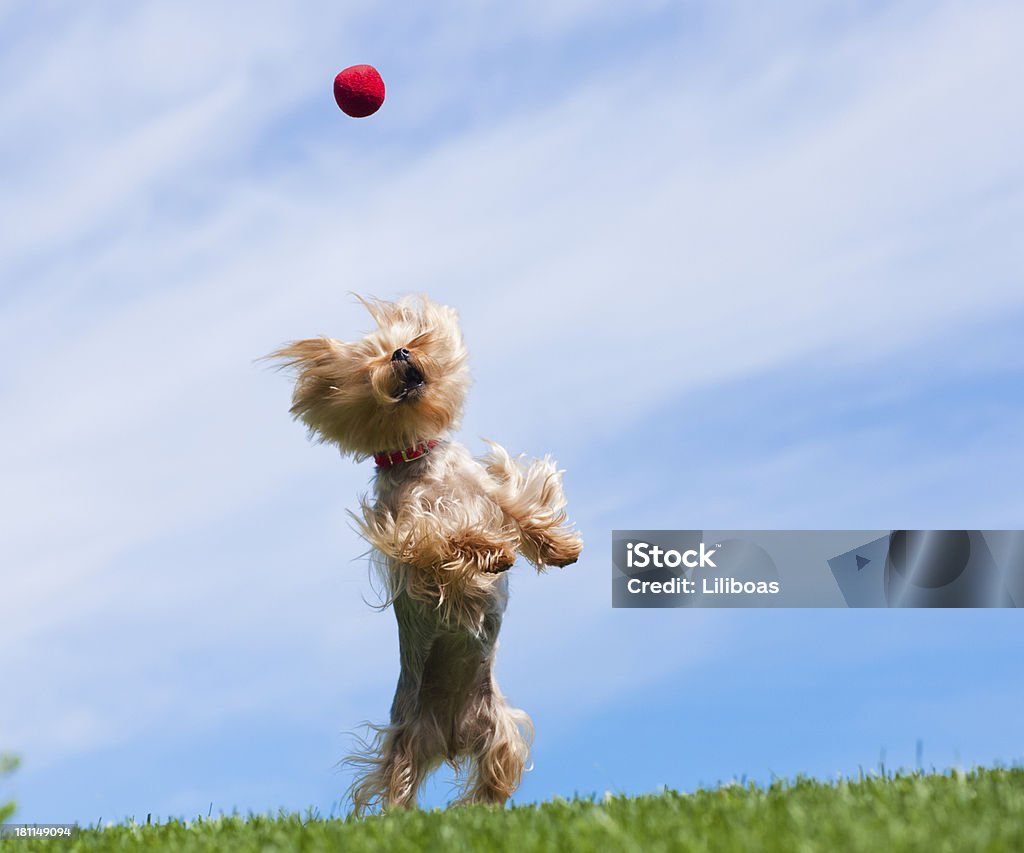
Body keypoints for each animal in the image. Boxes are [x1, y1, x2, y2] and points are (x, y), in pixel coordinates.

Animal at [270, 294, 585, 811]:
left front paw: (559, 548)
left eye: (406, 341)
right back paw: (403, 816)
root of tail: (453, 741)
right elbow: (444, 542)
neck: (417, 458)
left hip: (499, 730)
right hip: (407, 739)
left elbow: (521, 512)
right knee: (396, 782)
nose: (401, 355)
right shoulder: (407, 534)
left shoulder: (490, 495)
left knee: (498, 769)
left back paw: (481, 809)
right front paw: (491, 553)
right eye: (370, 364)